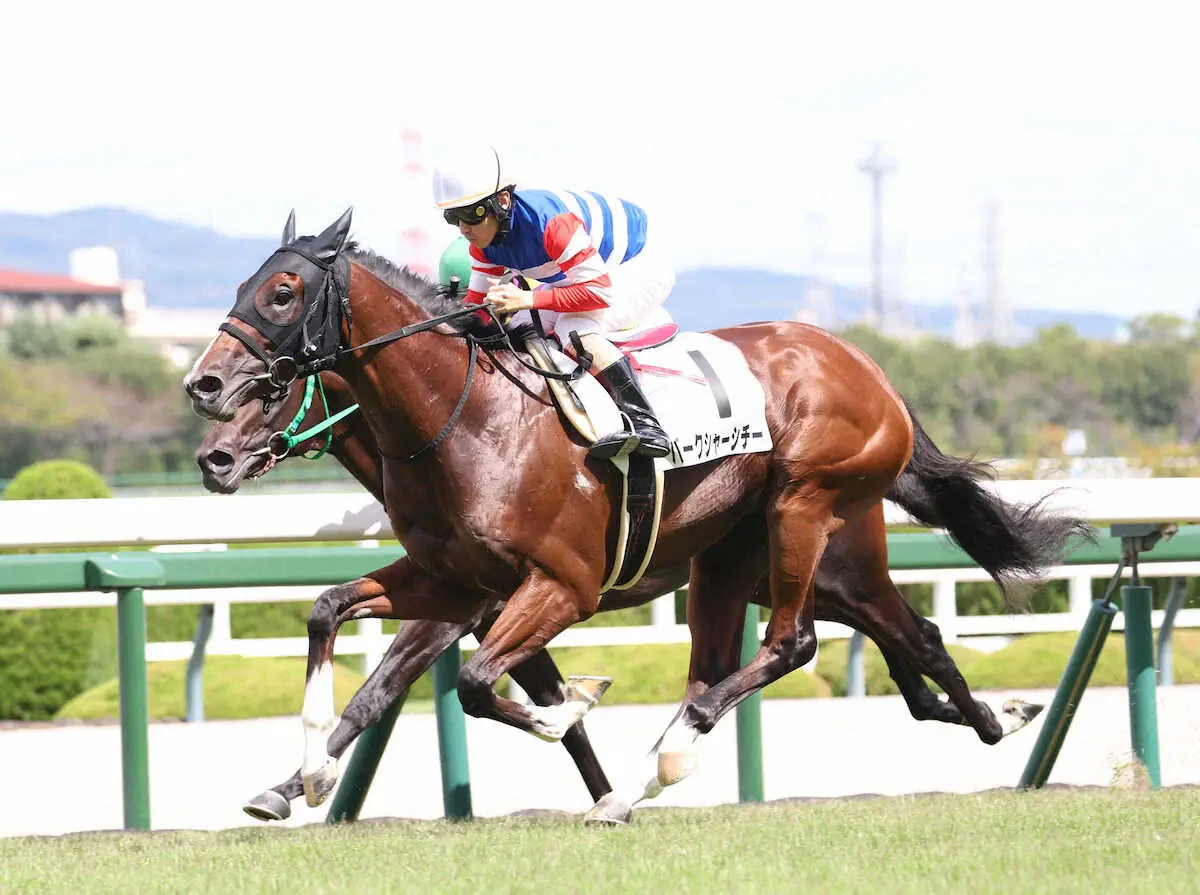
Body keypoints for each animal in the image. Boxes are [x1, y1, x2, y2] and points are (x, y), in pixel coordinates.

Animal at [184, 209, 1091, 822]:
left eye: (283, 291)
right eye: (240, 286)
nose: (205, 401)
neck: (468, 419)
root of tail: (867, 367)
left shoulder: (551, 588)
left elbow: (477, 689)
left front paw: (583, 719)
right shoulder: (455, 583)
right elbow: (334, 622)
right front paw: (295, 781)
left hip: (808, 519)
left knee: (797, 644)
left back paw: (680, 749)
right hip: (743, 563)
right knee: (893, 645)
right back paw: (994, 716)